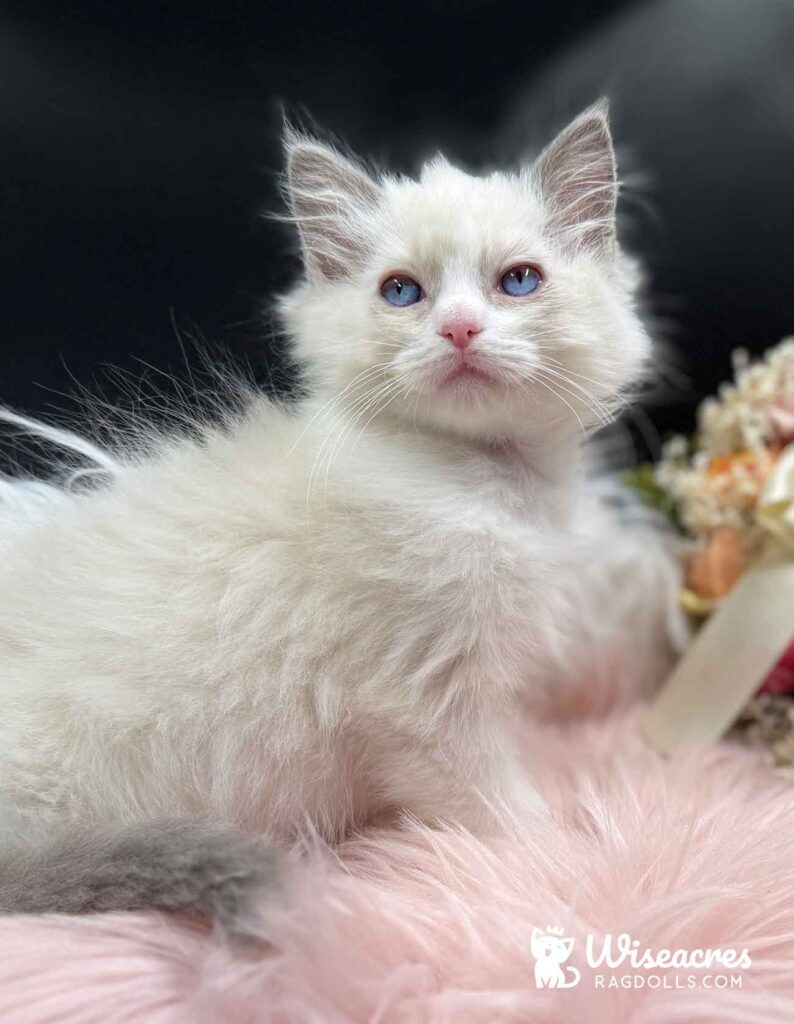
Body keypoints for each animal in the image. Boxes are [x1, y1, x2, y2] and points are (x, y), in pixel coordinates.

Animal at [0, 99, 659, 933]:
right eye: (402, 293)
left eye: (519, 281)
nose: (460, 329)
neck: (476, 481)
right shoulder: (420, 704)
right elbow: (497, 807)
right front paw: (566, 854)